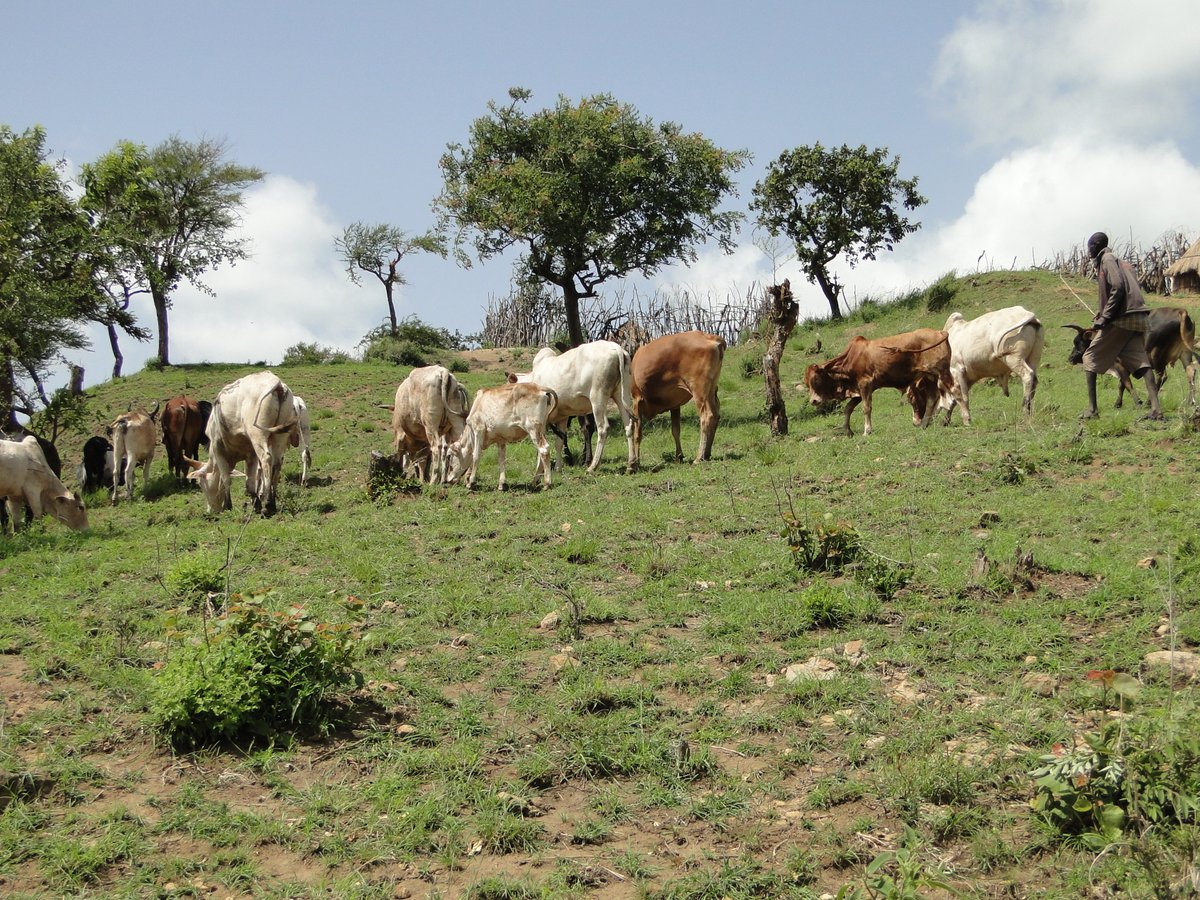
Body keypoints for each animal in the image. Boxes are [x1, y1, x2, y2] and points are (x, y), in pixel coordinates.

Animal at [185, 371, 299, 516]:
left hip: (258, 435)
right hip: (280, 437)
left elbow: (226, 479)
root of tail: (276, 383)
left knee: (266, 459)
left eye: (201, 483)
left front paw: (228, 505)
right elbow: (249, 481)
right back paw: (272, 503)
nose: (210, 511)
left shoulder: (218, 449)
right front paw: (255, 504)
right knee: (276, 464)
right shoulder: (250, 454)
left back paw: (267, 505)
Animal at [507, 340, 634, 473]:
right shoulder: (562, 417)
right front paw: (558, 468)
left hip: (598, 398)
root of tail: (616, 347)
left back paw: (592, 466)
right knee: (629, 425)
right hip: (621, 396)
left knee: (603, 428)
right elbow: (559, 442)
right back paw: (631, 464)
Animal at [630, 331, 725, 468]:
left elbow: (637, 433)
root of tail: (711, 337)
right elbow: (675, 431)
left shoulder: (637, 399)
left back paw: (698, 457)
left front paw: (634, 464)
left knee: (707, 417)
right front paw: (679, 456)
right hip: (711, 390)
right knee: (716, 415)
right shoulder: (674, 405)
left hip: (699, 390)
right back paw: (706, 454)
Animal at [804, 329, 953, 436]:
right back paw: (925, 423)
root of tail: (940, 332)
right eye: (806, 383)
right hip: (930, 377)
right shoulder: (859, 390)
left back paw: (945, 421)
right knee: (933, 398)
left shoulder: (865, 385)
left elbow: (866, 408)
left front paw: (867, 431)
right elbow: (848, 409)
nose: (813, 401)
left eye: (816, 379)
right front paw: (847, 430)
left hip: (942, 373)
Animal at [1064, 306, 1198, 407]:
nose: (1070, 358)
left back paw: (1149, 402)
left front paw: (1138, 401)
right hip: (1185, 353)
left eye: (1078, 342)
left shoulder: (1120, 365)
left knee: (1161, 376)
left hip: (1156, 355)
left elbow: (1127, 384)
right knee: (1190, 373)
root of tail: (1180, 312)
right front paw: (1118, 403)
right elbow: (1121, 385)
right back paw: (1190, 401)